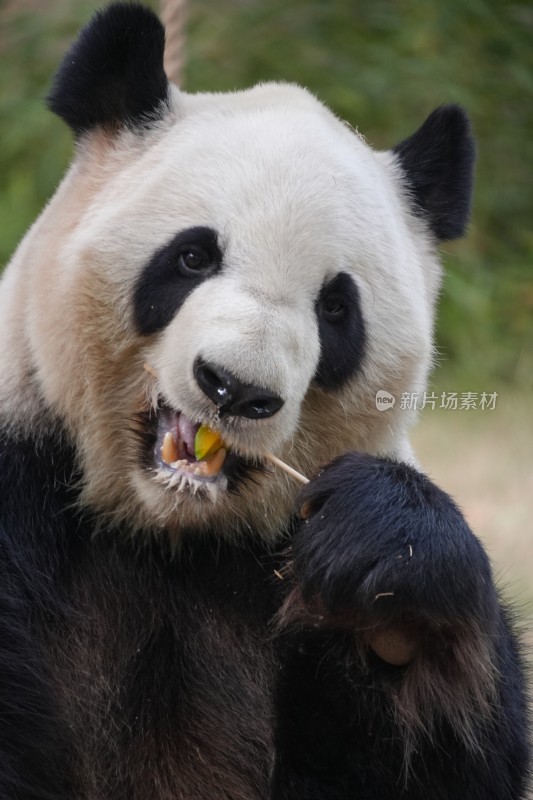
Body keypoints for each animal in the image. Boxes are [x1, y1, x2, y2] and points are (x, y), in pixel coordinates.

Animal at [0, 6, 528, 800]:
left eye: (336, 307)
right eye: (193, 256)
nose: (236, 387)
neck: (168, 535)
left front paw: (392, 604)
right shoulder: (22, 467)